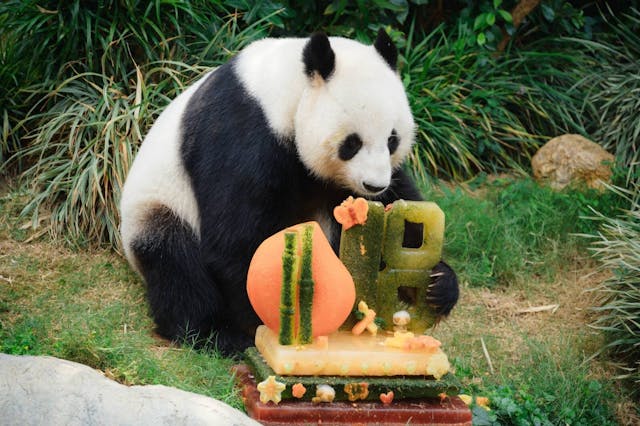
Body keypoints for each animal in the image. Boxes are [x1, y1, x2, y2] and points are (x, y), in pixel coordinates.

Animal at [120, 30, 458, 354]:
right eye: (352, 143)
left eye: (392, 140)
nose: (374, 186)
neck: (289, 89)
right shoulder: (242, 132)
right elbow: (236, 236)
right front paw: (270, 315)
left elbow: (400, 201)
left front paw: (438, 283)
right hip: (158, 206)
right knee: (177, 264)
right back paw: (215, 334)